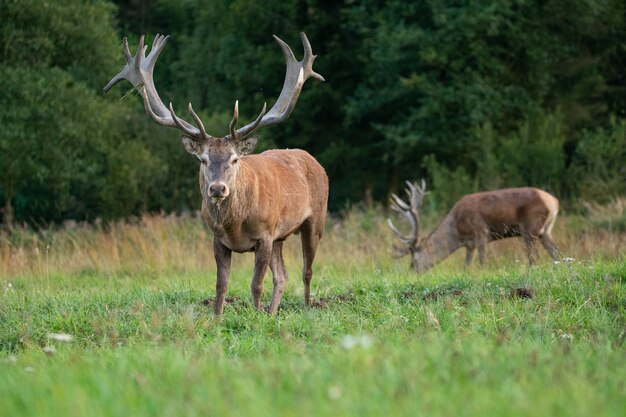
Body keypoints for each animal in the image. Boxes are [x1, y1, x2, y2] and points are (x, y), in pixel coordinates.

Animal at [103, 32, 326, 314]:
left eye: (234, 159)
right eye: (203, 159)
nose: (218, 188)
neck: (234, 225)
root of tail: (314, 160)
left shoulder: (265, 234)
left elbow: (256, 284)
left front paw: (256, 316)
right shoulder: (218, 238)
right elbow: (221, 285)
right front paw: (218, 317)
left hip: (315, 220)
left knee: (306, 271)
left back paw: (307, 307)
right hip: (281, 237)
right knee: (283, 275)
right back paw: (274, 311)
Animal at [388, 180, 560, 272]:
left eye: (415, 260)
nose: (411, 271)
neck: (457, 231)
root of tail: (553, 202)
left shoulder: (481, 232)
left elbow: (483, 261)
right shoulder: (469, 244)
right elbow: (466, 266)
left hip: (529, 228)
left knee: (534, 258)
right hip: (545, 230)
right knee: (556, 254)